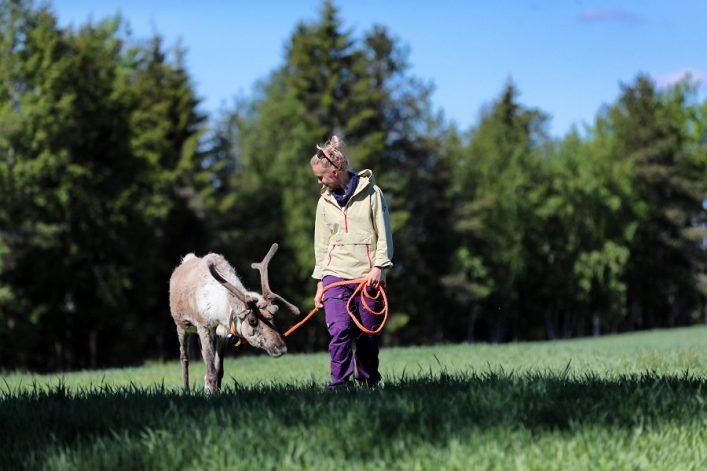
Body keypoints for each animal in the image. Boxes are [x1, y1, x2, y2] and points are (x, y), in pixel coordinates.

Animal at [169, 243, 300, 393]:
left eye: (273, 316)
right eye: (252, 321)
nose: (280, 348)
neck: (218, 309)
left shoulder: (223, 333)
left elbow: (218, 370)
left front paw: (215, 391)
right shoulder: (203, 326)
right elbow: (211, 372)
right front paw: (210, 392)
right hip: (181, 326)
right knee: (184, 357)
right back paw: (186, 389)